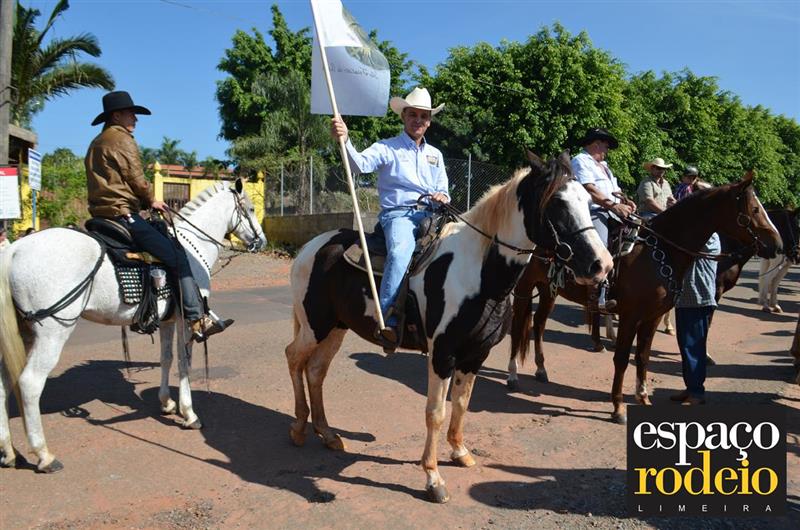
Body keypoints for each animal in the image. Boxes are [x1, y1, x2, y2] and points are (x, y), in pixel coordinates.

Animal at [0, 179, 266, 473]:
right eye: (251, 208)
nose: (261, 241)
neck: (192, 245)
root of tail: (14, 250)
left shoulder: (168, 320)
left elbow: (166, 358)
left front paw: (167, 403)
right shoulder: (186, 319)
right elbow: (184, 363)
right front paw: (189, 413)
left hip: (22, 332)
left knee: (3, 383)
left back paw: (9, 452)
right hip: (52, 332)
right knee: (30, 383)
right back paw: (44, 455)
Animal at [285, 151, 613, 503]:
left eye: (587, 202)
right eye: (557, 204)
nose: (602, 264)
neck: (479, 273)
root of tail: (312, 247)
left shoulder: (475, 354)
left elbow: (462, 402)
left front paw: (459, 452)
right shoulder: (442, 354)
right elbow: (436, 412)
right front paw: (433, 478)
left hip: (336, 327)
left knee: (315, 370)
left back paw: (327, 433)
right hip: (315, 326)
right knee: (293, 357)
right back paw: (299, 429)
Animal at [507, 173, 782, 423]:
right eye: (755, 208)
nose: (777, 244)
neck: (659, 251)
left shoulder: (652, 317)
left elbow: (643, 356)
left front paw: (643, 396)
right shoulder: (630, 317)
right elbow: (621, 359)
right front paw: (618, 407)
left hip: (548, 289)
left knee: (539, 324)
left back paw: (541, 369)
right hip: (523, 288)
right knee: (519, 327)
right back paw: (512, 376)